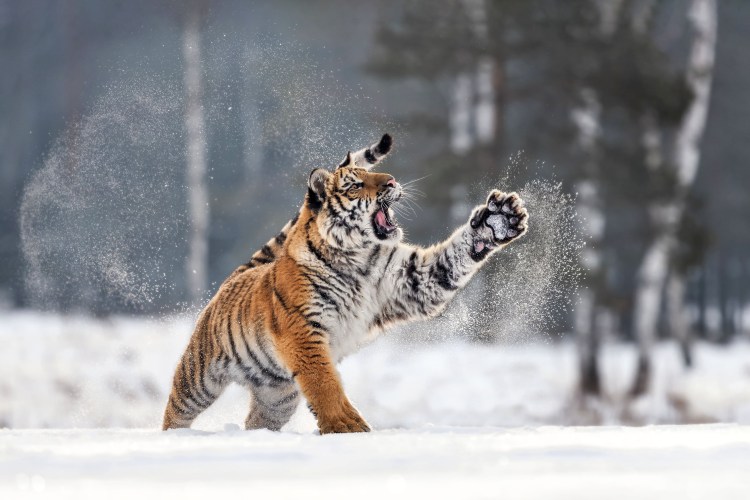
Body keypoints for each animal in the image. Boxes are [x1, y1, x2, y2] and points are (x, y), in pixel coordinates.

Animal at [162, 134, 529, 434]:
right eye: (355, 184)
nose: (392, 180)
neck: (358, 258)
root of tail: (237, 274)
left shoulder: (413, 282)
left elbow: (453, 258)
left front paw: (498, 221)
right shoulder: (303, 329)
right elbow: (325, 384)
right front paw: (346, 427)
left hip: (277, 396)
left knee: (257, 420)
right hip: (198, 378)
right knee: (176, 411)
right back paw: (174, 438)